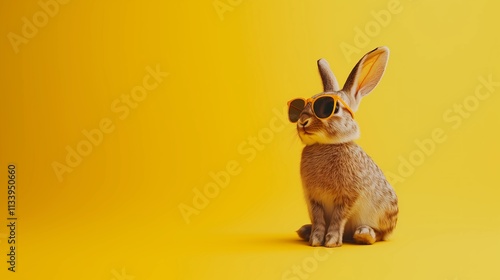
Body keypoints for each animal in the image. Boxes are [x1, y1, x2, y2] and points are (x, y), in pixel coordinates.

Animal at [290, 46, 398, 247]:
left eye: (330, 108)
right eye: (300, 109)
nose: (302, 122)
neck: (325, 145)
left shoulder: (348, 197)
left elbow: (338, 218)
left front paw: (331, 241)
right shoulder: (314, 200)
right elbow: (319, 220)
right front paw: (315, 239)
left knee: (379, 234)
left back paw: (364, 234)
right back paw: (305, 230)